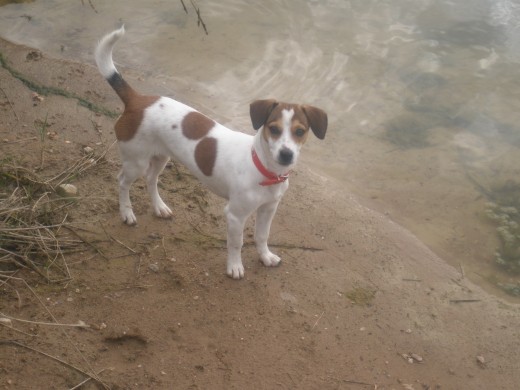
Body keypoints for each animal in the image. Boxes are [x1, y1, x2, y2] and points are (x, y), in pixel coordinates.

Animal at [95, 26, 328, 278]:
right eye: (274, 129)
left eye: (300, 131)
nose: (286, 154)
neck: (262, 167)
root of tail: (137, 100)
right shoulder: (235, 215)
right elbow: (236, 243)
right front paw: (234, 266)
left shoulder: (268, 209)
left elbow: (262, 236)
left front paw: (265, 256)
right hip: (135, 161)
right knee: (122, 182)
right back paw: (127, 213)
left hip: (161, 157)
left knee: (151, 179)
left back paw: (159, 207)